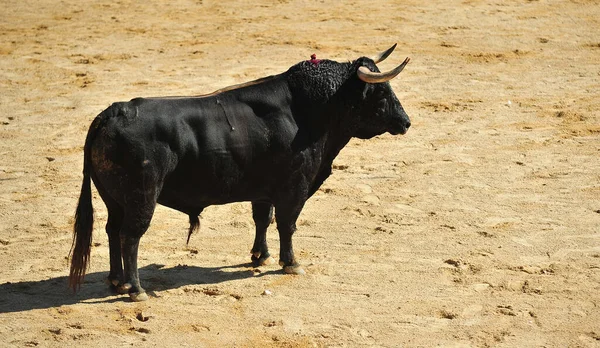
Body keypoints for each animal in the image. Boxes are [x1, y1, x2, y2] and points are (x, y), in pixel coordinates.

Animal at [68, 44, 410, 302]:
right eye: (381, 94)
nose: (406, 122)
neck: (308, 111)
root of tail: (113, 112)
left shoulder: (265, 190)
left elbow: (263, 219)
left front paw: (261, 256)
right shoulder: (295, 187)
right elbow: (287, 224)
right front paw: (291, 263)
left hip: (115, 199)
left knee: (113, 230)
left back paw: (118, 281)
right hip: (142, 196)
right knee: (130, 236)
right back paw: (136, 289)